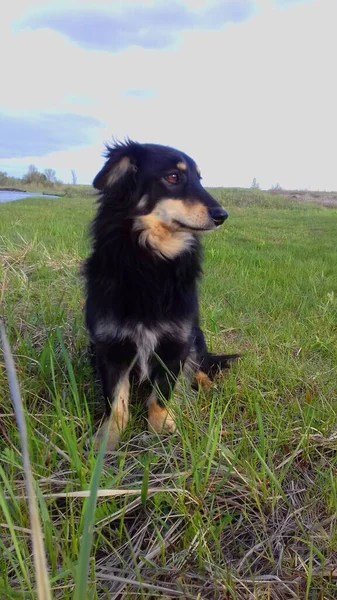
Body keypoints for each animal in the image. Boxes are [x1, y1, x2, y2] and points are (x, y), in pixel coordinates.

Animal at [82, 141, 238, 450]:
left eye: (199, 178)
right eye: (173, 177)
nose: (222, 215)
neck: (149, 263)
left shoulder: (176, 342)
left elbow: (161, 396)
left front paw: (161, 432)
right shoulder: (110, 346)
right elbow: (116, 401)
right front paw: (108, 440)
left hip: (196, 336)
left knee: (200, 366)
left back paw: (209, 387)